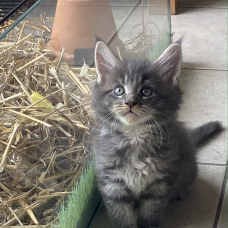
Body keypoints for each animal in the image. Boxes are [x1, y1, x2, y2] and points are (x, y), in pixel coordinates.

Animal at [90, 40, 221, 228]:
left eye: (146, 91)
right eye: (119, 90)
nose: (130, 102)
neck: (135, 136)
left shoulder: (161, 183)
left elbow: (151, 214)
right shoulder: (112, 184)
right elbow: (122, 217)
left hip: (187, 165)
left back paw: (181, 191)